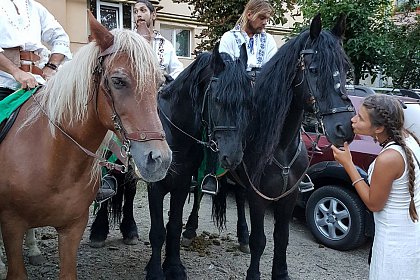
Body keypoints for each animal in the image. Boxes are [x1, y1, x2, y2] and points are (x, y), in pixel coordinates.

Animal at [0, 12, 172, 278]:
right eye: (118, 81)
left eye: (159, 83)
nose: (160, 160)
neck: (54, 161)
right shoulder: (11, 225)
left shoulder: (72, 229)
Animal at [145, 44, 253, 278]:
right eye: (217, 100)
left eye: (249, 102)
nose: (232, 156)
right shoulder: (156, 186)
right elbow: (157, 231)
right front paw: (155, 271)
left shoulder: (183, 182)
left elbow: (174, 226)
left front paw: (174, 266)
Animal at [210, 14, 354, 278]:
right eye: (314, 70)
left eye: (346, 69)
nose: (344, 127)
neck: (281, 146)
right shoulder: (259, 198)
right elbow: (260, 239)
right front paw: (253, 273)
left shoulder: (288, 196)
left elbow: (282, 237)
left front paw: (281, 272)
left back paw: (241, 236)